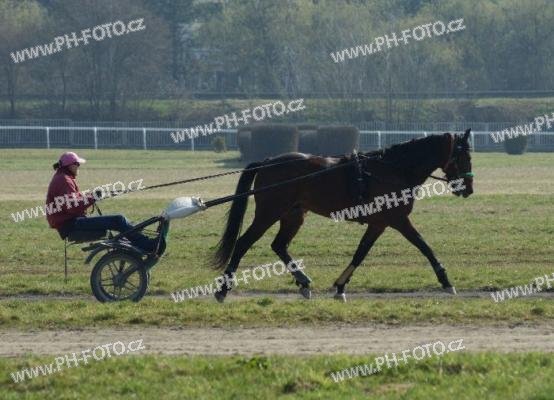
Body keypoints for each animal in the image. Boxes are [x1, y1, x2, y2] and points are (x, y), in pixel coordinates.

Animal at [212, 129, 474, 302]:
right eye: (464, 156)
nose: (468, 188)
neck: (392, 169)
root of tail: (267, 163)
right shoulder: (397, 220)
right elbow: (424, 246)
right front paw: (446, 281)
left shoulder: (379, 223)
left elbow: (361, 253)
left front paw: (340, 286)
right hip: (269, 213)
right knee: (243, 243)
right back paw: (223, 289)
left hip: (293, 215)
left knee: (279, 245)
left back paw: (303, 282)